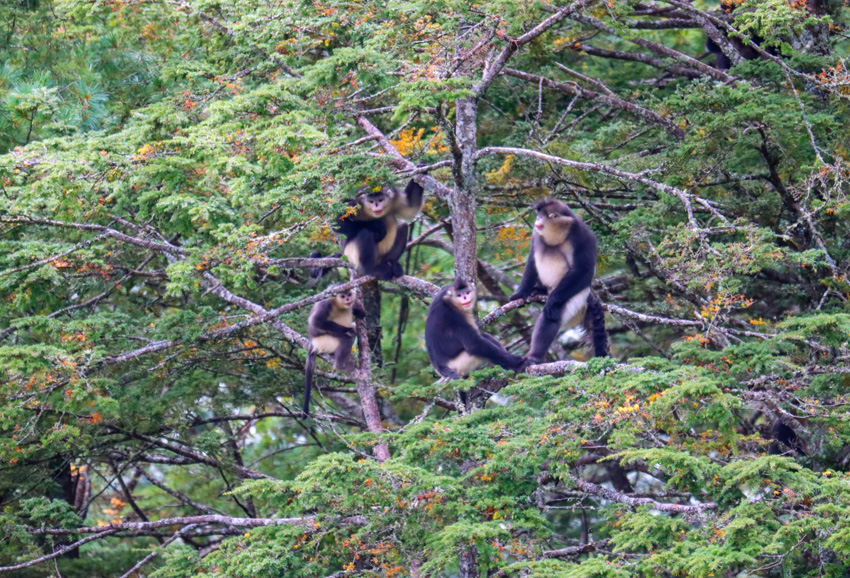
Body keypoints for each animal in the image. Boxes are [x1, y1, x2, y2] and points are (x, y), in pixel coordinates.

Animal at [303, 287, 365, 415]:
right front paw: (348, 329)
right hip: (326, 341)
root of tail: (313, 344)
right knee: (348, 336)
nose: (347, 299)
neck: (339, 305)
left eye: (348, 294)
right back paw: (340, 364)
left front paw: (358, 310)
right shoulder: (325, 304)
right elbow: (315, 321)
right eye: (342, 296)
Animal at [509, 198, 608, 364]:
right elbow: (532, 258)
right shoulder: (536, 234)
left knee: (551, 316)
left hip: (576, 295)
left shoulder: (584, 235)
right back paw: (538, 291)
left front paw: (552, 302)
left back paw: (534, 356)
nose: (537, 221)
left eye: (541, 217)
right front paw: (521, 293)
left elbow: (584, 270)